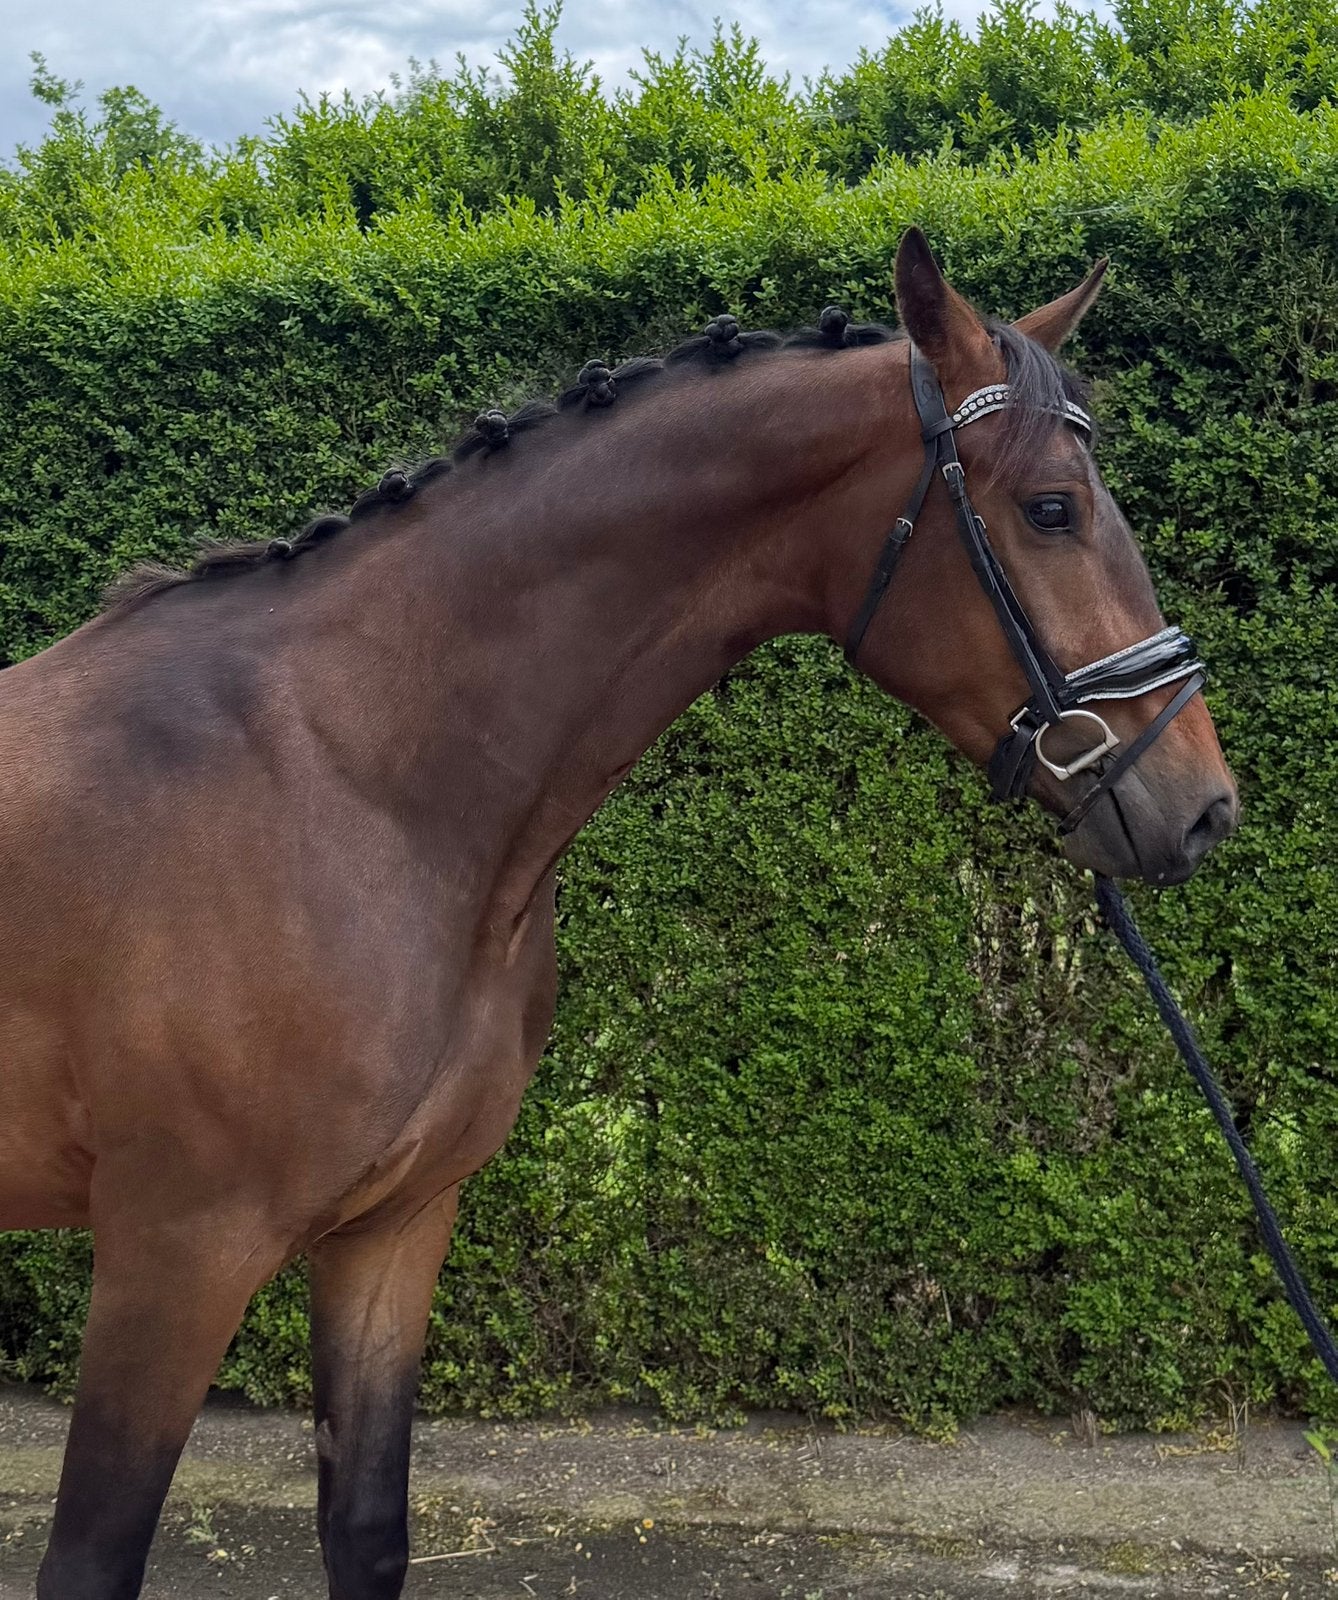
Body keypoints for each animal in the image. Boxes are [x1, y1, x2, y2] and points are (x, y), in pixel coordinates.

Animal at [0, 229, 1236, 1598]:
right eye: (1052, 508)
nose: (1202, 806)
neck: (349, 775)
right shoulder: (175, 1253)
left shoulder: (392, 1230)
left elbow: (366, 1531)